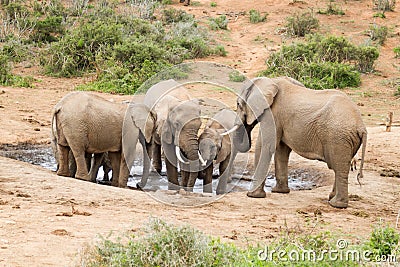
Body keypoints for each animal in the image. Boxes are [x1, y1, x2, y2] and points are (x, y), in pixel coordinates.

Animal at [223, 76, 368, 208]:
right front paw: (280, 192)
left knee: (339, 167)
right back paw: (332, 199)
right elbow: (282, 150)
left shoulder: (273, 114)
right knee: (339, 167)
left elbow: (265, 146)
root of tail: (361, 126)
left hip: (338, 137)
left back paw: (337, 204)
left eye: (238, 104)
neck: (271, 81)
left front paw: (253, 196)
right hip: (344, 139)